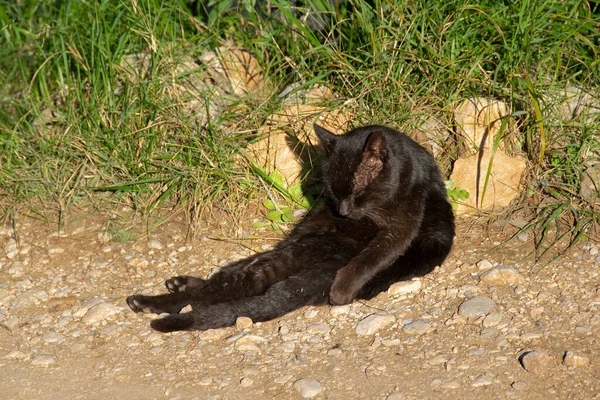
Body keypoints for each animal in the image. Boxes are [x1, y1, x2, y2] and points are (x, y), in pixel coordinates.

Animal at [127, 125, 454, 332]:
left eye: (358, 193)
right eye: (333, 192)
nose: (343, 212)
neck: (405, 161)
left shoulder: (401, 225)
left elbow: (374, 255)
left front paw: (342, 291)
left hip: (299, 253)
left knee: (241, 282)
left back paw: (147, 302)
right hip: (295, 244)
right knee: (232, 273)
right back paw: (180, 284)